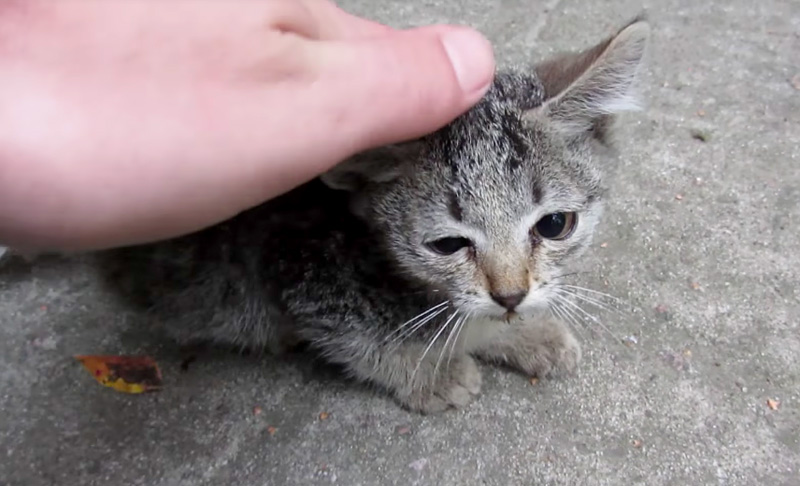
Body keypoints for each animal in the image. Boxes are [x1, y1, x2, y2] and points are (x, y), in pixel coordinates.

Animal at [98, 19, 648, 414]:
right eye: (447, 246)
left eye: (554, 225)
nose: (511, 295)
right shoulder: (294, 257)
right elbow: (357, 337)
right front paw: (431, 371)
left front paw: (522, 331)